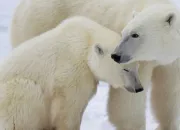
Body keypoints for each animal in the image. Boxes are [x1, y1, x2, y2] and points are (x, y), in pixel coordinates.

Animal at [0, 16, 143, 130]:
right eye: (125, 69)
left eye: (136, 67)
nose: (139, 88)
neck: (86, 40)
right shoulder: (71, 73)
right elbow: (68, 110)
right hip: (14, 96)